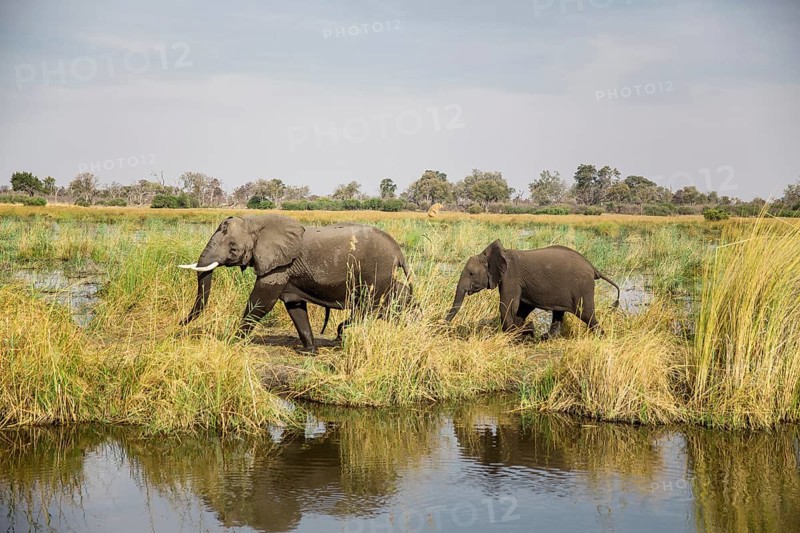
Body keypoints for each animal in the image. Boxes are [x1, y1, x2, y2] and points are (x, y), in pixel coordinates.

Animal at [179, 214, 412, 353]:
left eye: (233, 248)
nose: (180, 324)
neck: (256, 222)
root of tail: (399, 252)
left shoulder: (279, 266)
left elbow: (262, 300)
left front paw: (232, 342)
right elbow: (295, 306)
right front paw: (309, 351)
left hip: (376, 272)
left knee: (369, 306)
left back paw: (340, 335)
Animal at [445, 240, 620, 339]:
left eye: (471, 274)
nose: (443, 327)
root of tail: (593, 268)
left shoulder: (511, 277)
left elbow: (508, 306)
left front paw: (510, 336)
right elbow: (522, 307)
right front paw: (520, 333)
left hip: (582, 287)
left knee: (587, 314)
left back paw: (602, 338)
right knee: (559, 313)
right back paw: (545, 338)